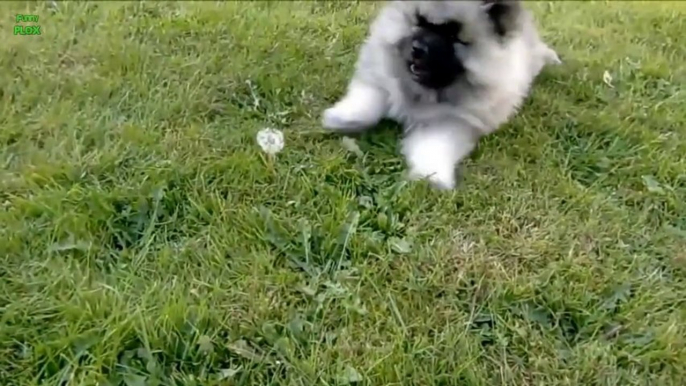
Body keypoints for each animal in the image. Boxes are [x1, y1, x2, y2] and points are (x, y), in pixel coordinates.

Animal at [326, 0, 560, 190]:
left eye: (452, 35)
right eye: (420, 20)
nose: (417, 48)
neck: (424, 91)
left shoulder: (450, 122)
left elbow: (433, 146)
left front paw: (432, 177)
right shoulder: (380, 76)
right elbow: (369, 98)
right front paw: (344, 117)